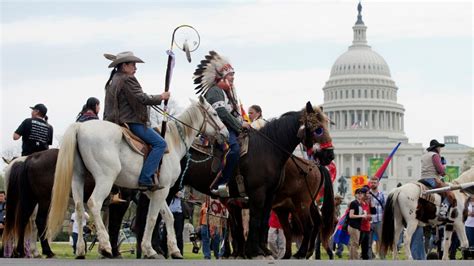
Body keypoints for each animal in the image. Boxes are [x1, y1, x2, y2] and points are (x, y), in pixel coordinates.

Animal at [45, 96, 228, 258]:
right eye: (215, 114)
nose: (225, 133)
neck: (172, 143)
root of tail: (80, 128)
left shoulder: (153, 191)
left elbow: (167, 217)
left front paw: (174, 250)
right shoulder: (163, 191)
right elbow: (152, 218)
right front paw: (150, 250)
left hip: (78, 179)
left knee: (79, 209)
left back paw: (81, 250)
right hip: (105, 179)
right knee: (94, 204)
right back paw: (105, 247)